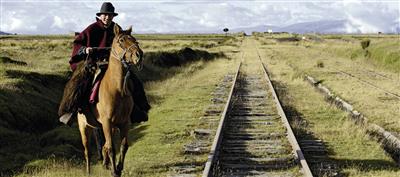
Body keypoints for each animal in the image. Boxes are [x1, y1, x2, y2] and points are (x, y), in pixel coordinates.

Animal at [77, 24, 143, 176]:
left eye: (134, 39)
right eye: (121, 40)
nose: (139, 55)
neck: (116, 89)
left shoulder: (124, 122)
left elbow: (123, 146)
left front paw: (118, 168)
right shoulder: (107, 122)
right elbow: (112, 147)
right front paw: (114, 171)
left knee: (104, 146)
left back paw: (106, 163)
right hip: (84, 127)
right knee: (87, 151)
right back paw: (89, 171)